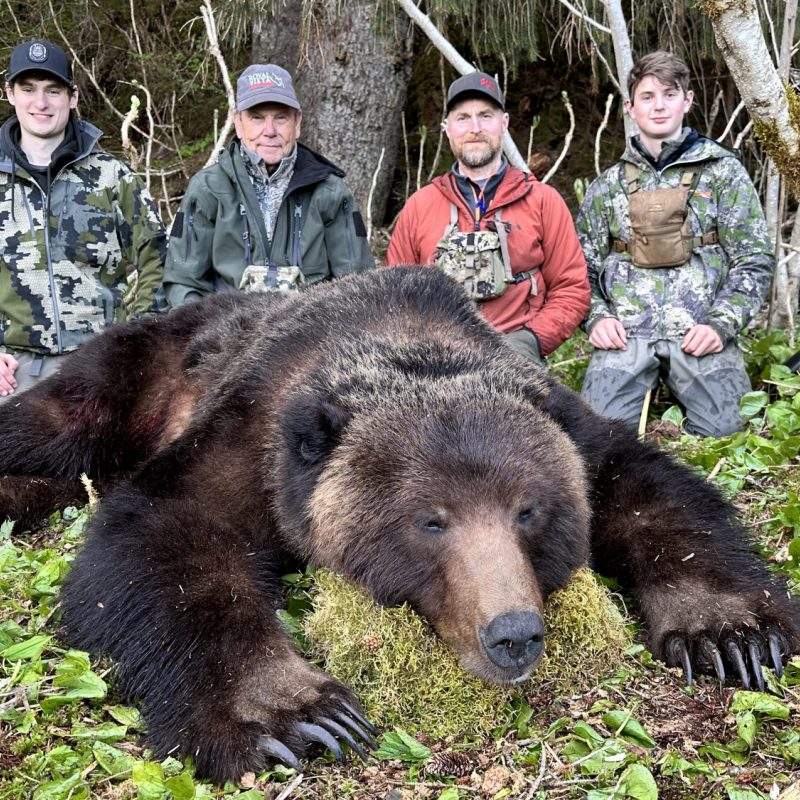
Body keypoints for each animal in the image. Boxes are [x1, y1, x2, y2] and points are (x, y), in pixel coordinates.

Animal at [0, 266, 797, 784]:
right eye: (430, 522)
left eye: (528, 510)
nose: (512, 634)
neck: (397, 343)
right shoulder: (255, 440)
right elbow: (167, 538)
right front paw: (299, 715)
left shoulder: (575, 433)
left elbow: (651, 493)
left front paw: (728, 633)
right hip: (144, 369)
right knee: (60, 415)